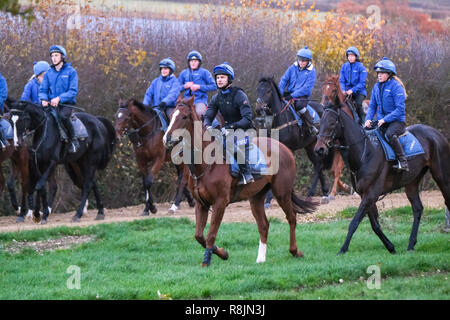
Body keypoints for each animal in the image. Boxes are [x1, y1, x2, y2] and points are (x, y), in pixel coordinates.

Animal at [162, 96, 316, 266]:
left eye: (184, 117)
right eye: (171, 116)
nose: (167, 138)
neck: (205, 164)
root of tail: (285, 148)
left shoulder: (220, 202)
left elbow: (210, 234)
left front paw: (207, 261)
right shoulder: (201, 204)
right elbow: (199, 236)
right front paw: (222, 253)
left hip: (282, 192)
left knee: (292, 218)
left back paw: (295, 251)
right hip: (256, 197)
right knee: (264, 225)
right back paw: (260, 259)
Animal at [314, 77, 448, 252]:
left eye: (331, 123)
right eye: (320, 122)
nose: (319, 149)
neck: (365, 152)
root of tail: (437, 134)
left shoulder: (371, 194)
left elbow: (354, 222)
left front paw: (343, 249)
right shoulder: (366, 195)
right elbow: (375, 225)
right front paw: (391, 247)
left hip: (441, 176)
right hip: (412, 181)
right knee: (418, 208)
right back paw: (411, 244)